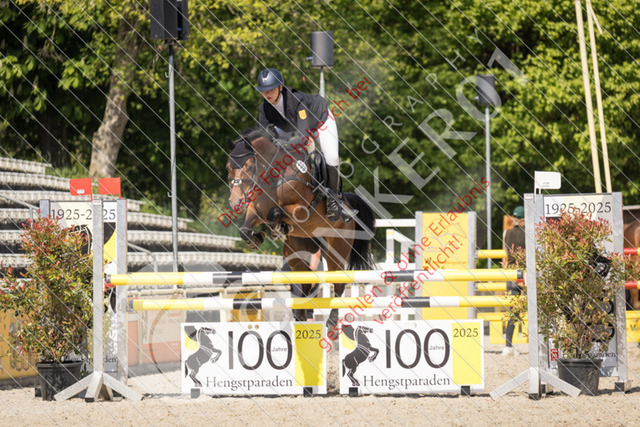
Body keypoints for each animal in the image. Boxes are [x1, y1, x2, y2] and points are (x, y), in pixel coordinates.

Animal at [226, 128, 375, 325]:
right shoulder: (255, 209)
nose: (235, 202)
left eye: (249, 167)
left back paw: (332, 320)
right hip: (298, 252)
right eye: (228, 168)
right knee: (305, 280)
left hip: (337, 250)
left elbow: (275, 212)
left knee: (338, 282)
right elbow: (245, 229)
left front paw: (277, 227)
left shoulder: (301, 210)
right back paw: (300, 317)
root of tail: (349, 205)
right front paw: (258, 237)